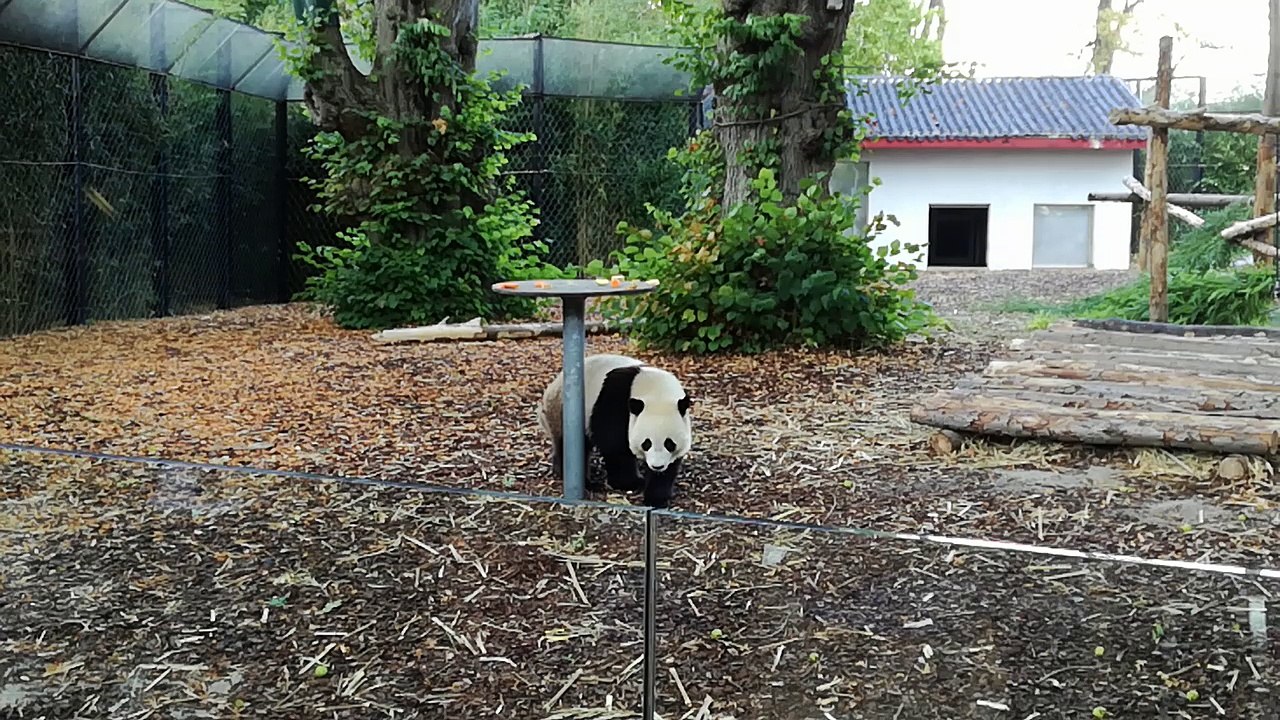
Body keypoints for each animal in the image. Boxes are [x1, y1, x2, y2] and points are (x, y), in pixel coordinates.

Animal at [536, 353, 693, 509]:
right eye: (646, 443)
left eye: (669, 443)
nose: (657, 466)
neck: (656, 391)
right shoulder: (616, 401)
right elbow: (614, 444)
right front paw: (631, 483)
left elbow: (670, 466)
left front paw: (657, 498)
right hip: (562, 412)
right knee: (571, 445)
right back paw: (585, 481)